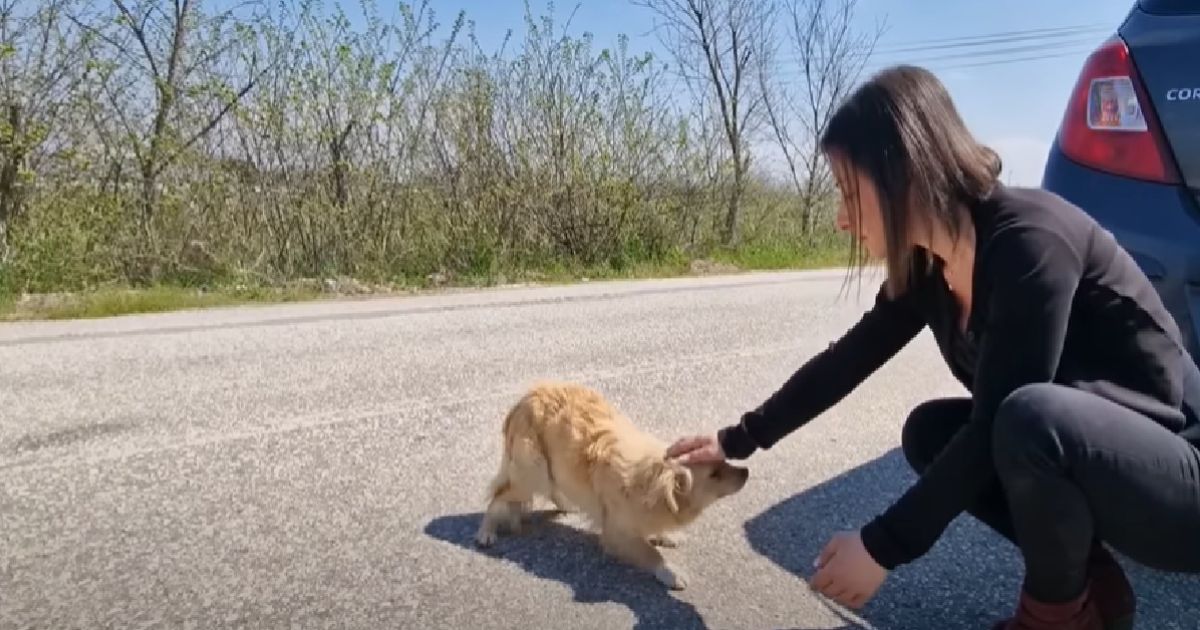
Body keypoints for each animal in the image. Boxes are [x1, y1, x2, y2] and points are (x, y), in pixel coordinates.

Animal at [470, 379, 744, 590]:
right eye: (715, 474)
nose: (746, 472)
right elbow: (650, 552)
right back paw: (486, 532)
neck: (649, 482)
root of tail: (523, 400)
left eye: (723, 461)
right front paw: (669, 571)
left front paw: (663, 534)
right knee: (498, 495)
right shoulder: (616, 534)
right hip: (532, 471)